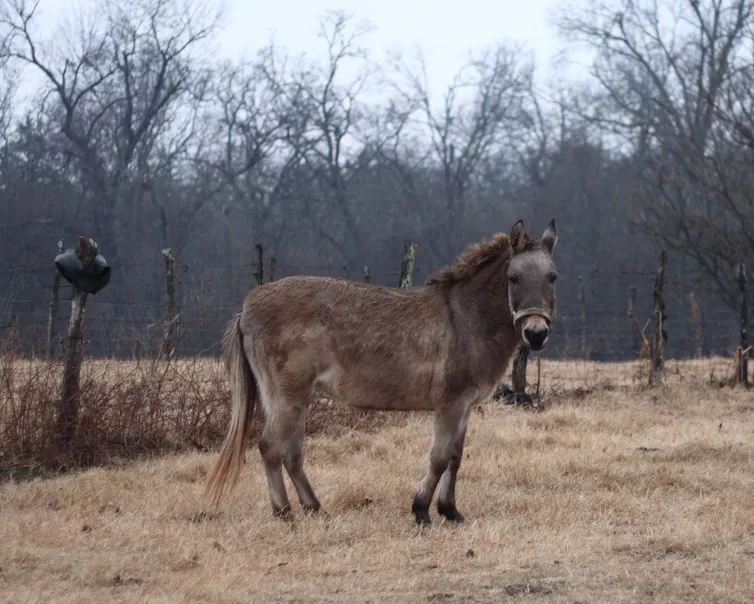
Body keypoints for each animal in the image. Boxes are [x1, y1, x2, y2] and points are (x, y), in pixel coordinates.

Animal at [205, 219, 559, 525]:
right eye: (514, 277)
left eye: (552, 277)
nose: (536, 333)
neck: (465, 319)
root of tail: (246, 308)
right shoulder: (450, 405)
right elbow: (439, 457)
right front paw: (421, 511)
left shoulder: (466, 407)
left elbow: (456, 458)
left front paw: (450, 511)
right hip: (286, 396)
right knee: (270, 447)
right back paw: (284, 513)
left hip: (294, 398)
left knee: (291, 452)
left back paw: (314, 509)